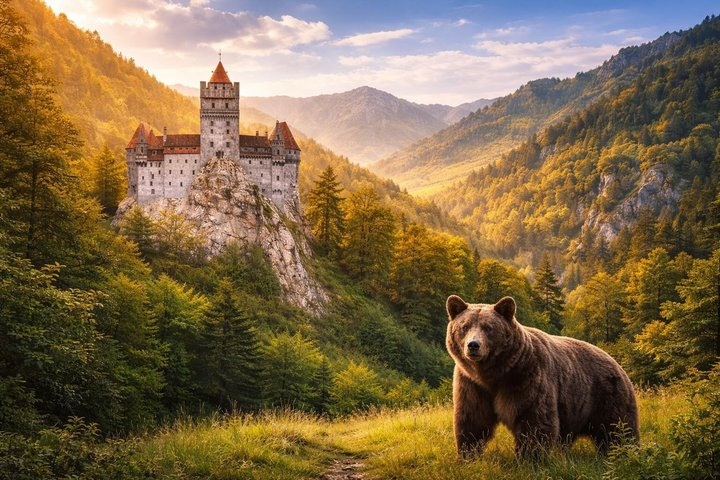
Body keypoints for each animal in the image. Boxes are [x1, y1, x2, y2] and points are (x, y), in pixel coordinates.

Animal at [445, 295, 639, 458]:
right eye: (464, 326)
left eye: (488, 328)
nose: (473, 345)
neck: (495, 374)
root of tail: (615, 361)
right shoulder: (472, 384)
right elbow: (472, 419)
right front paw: (467, 455)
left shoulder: (526, 377)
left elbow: (534, 419)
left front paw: (529, 458)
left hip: (607, 395)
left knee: (618, 428)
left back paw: (624, 452)